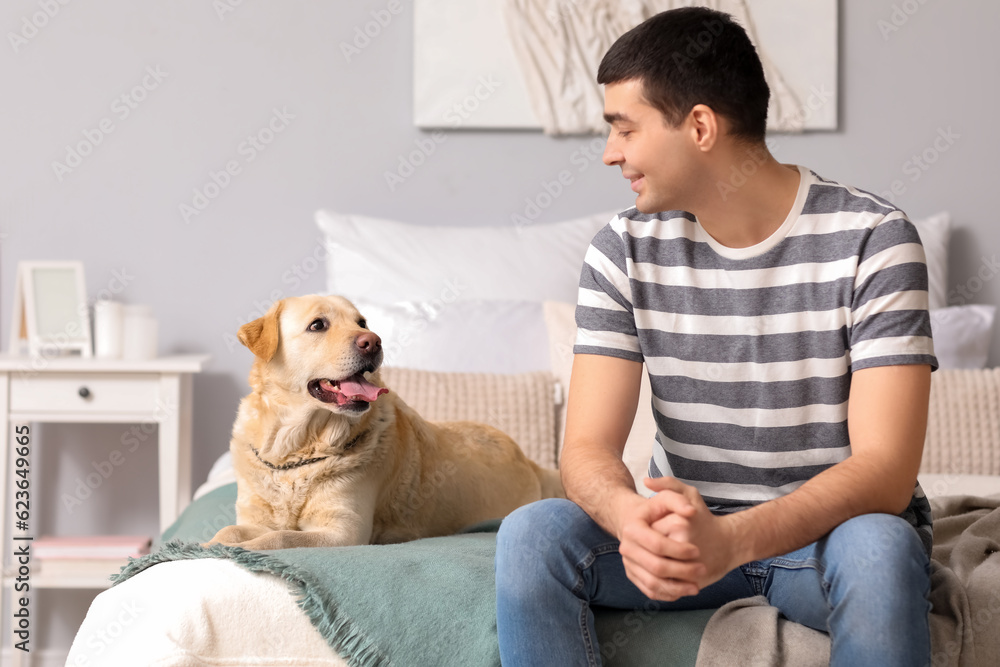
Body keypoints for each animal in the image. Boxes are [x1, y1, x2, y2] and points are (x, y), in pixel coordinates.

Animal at [208, 294, 564, 552]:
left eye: (362, 321)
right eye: (317, 325)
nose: (373, 341)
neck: (296, 448)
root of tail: (529, 461)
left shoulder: (343, 531)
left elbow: (279, 537)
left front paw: (239, 550)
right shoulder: (255, 515)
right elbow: (230, 529)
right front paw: (208, 544)